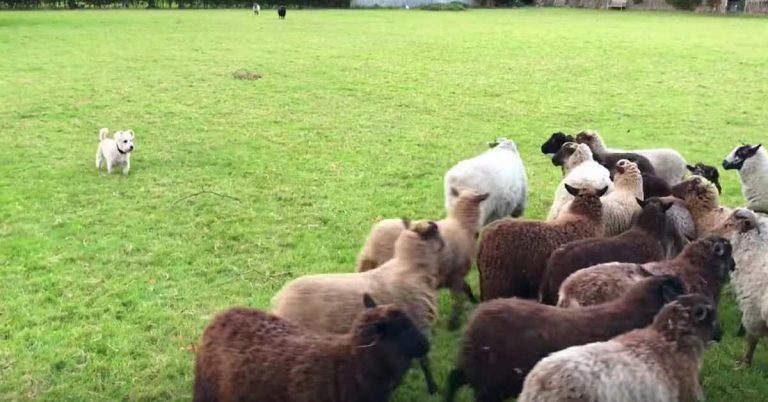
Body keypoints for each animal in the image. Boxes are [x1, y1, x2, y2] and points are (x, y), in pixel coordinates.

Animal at [357, 188, 489, 329]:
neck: (461, 224)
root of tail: (373, 239)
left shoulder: (450, 276)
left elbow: (466, 289)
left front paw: (474, 301)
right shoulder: (456, 274)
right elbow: (458, 299)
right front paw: (454, 323)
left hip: (366, 267)